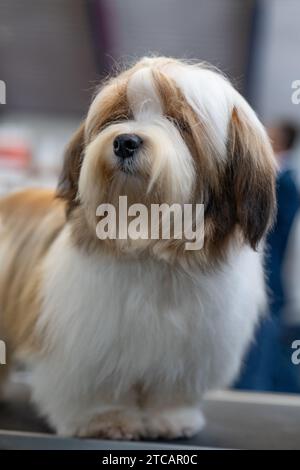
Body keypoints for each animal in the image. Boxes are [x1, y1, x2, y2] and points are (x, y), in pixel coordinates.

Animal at [0, 57, 276, 438]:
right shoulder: (88, 345)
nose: (125, 141)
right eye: (120, 115)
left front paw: (171, 420)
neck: (152, 247)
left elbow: (169, 391)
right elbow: (97, 389)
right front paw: (105, 420)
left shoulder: (189, 349)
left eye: (180, 123)